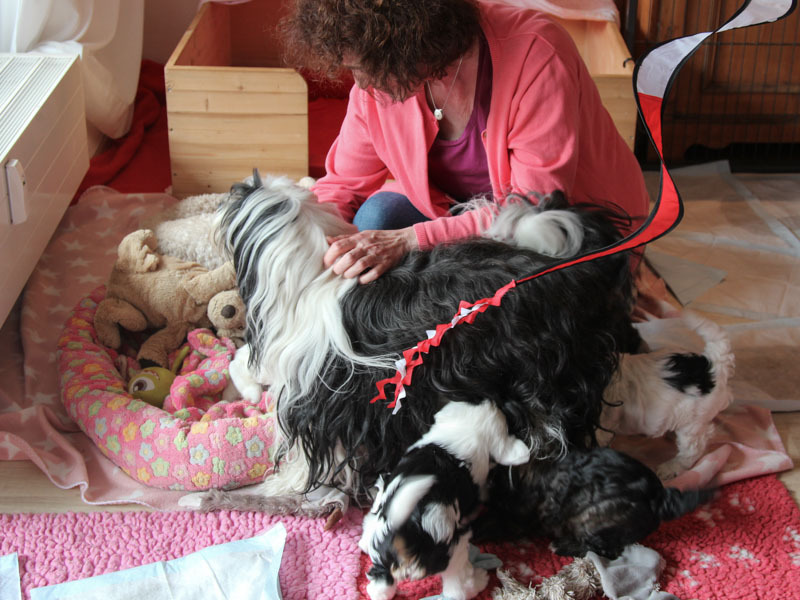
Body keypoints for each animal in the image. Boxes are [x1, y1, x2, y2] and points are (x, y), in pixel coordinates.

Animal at [201, 172, 637, 508]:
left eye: (237, 198)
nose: (223, 198)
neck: (312, 277)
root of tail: (573, 265)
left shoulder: (323, 396)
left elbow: (310, 455)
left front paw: (282, 485)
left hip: (544, 377)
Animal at [360, 400, 529, 600]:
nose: (492, 401)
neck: (464, 433)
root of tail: (405, 534)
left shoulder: (384, 483)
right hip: (455, 550)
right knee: (457, 586)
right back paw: (479, 582)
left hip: (383, 557)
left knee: (381, 585)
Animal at [474, 446, 715, 559]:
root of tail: (658, 495)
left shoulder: (515, 516)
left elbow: (490, 523)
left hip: (592, 518)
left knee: (606, 550)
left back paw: (562, 546)